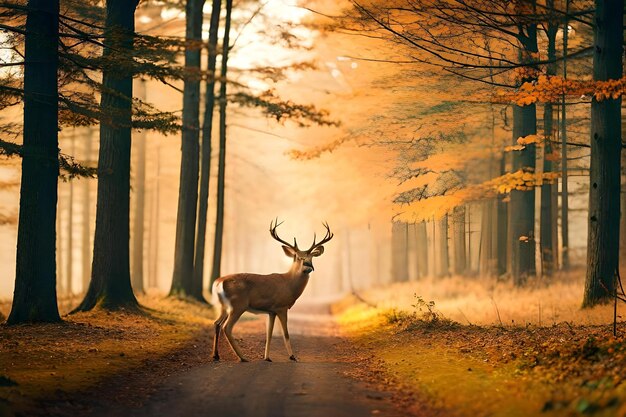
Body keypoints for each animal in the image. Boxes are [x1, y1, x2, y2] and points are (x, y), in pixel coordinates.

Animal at [211, 221, 332, 360]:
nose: (308, 265)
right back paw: (242, 357)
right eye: (297, 257)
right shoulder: (281, 306)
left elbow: (269, 334)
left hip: (224, 306)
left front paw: (267, 357)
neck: (289, 284)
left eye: (312, 257)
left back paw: (216, 355)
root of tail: (218, 282)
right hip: (238, 305)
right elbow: (286, 333)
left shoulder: (271, 311)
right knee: (227, 327)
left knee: (217, 323)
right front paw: (292, 356)